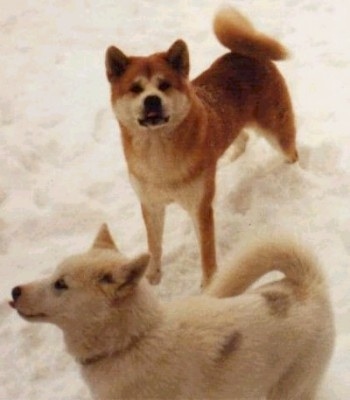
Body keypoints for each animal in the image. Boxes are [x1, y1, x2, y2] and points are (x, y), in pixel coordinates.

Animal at [10, 227, 334, 398]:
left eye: (60, 284)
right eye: (54, 275)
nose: (13, 291)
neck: (130, 342)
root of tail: (306, 284)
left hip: (289, 390)